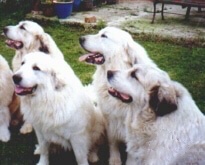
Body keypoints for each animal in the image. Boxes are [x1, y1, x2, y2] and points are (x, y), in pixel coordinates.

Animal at [79, 26, 157, 164]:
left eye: (104, 36)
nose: (80, 38)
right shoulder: (110, 119)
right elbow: (112, 142)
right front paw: (114, 159)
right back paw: (93, 155)